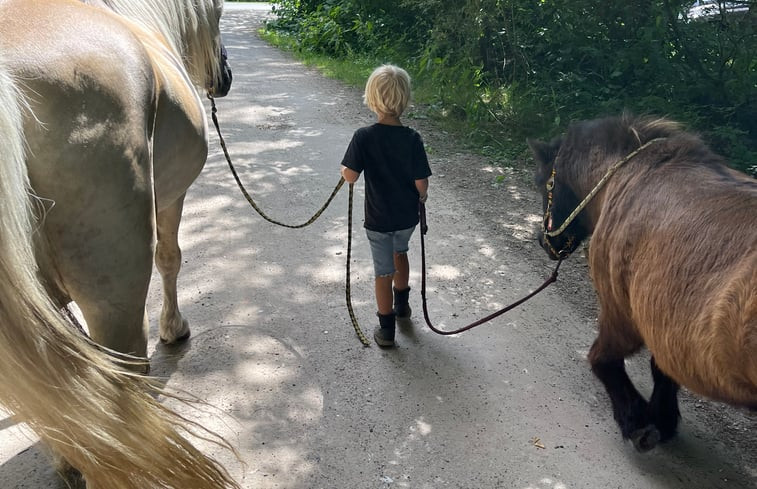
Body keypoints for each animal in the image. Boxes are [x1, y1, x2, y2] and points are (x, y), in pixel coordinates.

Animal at [0, 0, 238, 486]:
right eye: (221, 12)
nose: (225, 75)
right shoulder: (173, 198)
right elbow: (171, 259)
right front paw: (174, 329)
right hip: (115, 296)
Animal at [528, 113, 756, 450]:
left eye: (544, 185)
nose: (545, 242)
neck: (629, 176)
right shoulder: (666, 321)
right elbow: (662, 370)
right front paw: (662, 417)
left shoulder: (623, 314)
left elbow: (604, 359)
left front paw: (638, 420)